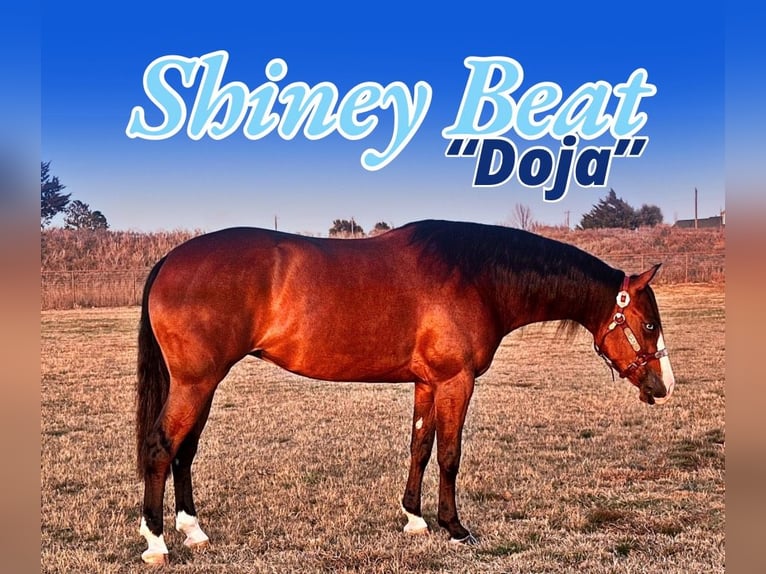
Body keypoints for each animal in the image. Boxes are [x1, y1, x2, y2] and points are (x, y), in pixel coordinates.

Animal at [135, 219, 675, 564]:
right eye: (649, 325)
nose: (664, 385)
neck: (477, 277)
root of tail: (170, 259)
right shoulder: (456, 381)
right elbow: (451, 454)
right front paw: (455, 528)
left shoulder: (427, 383)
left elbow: (420, 446)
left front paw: (414, 518)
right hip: (196, 383)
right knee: (162, 447)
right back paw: (156, 543)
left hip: (204, 386)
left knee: (185, 451)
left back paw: (193, 531)